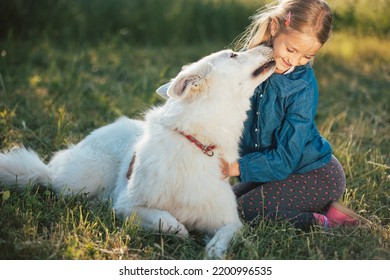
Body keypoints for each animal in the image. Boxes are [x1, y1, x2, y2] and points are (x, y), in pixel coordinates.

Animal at [0, 46, 274, 258]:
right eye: (233, 55)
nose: (269, 45)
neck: (197, 142)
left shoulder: (229, 221)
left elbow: (224, 237)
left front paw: (214, 251)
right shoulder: (127, 204)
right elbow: (165, 220)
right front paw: (180, 229)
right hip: (83, 179)